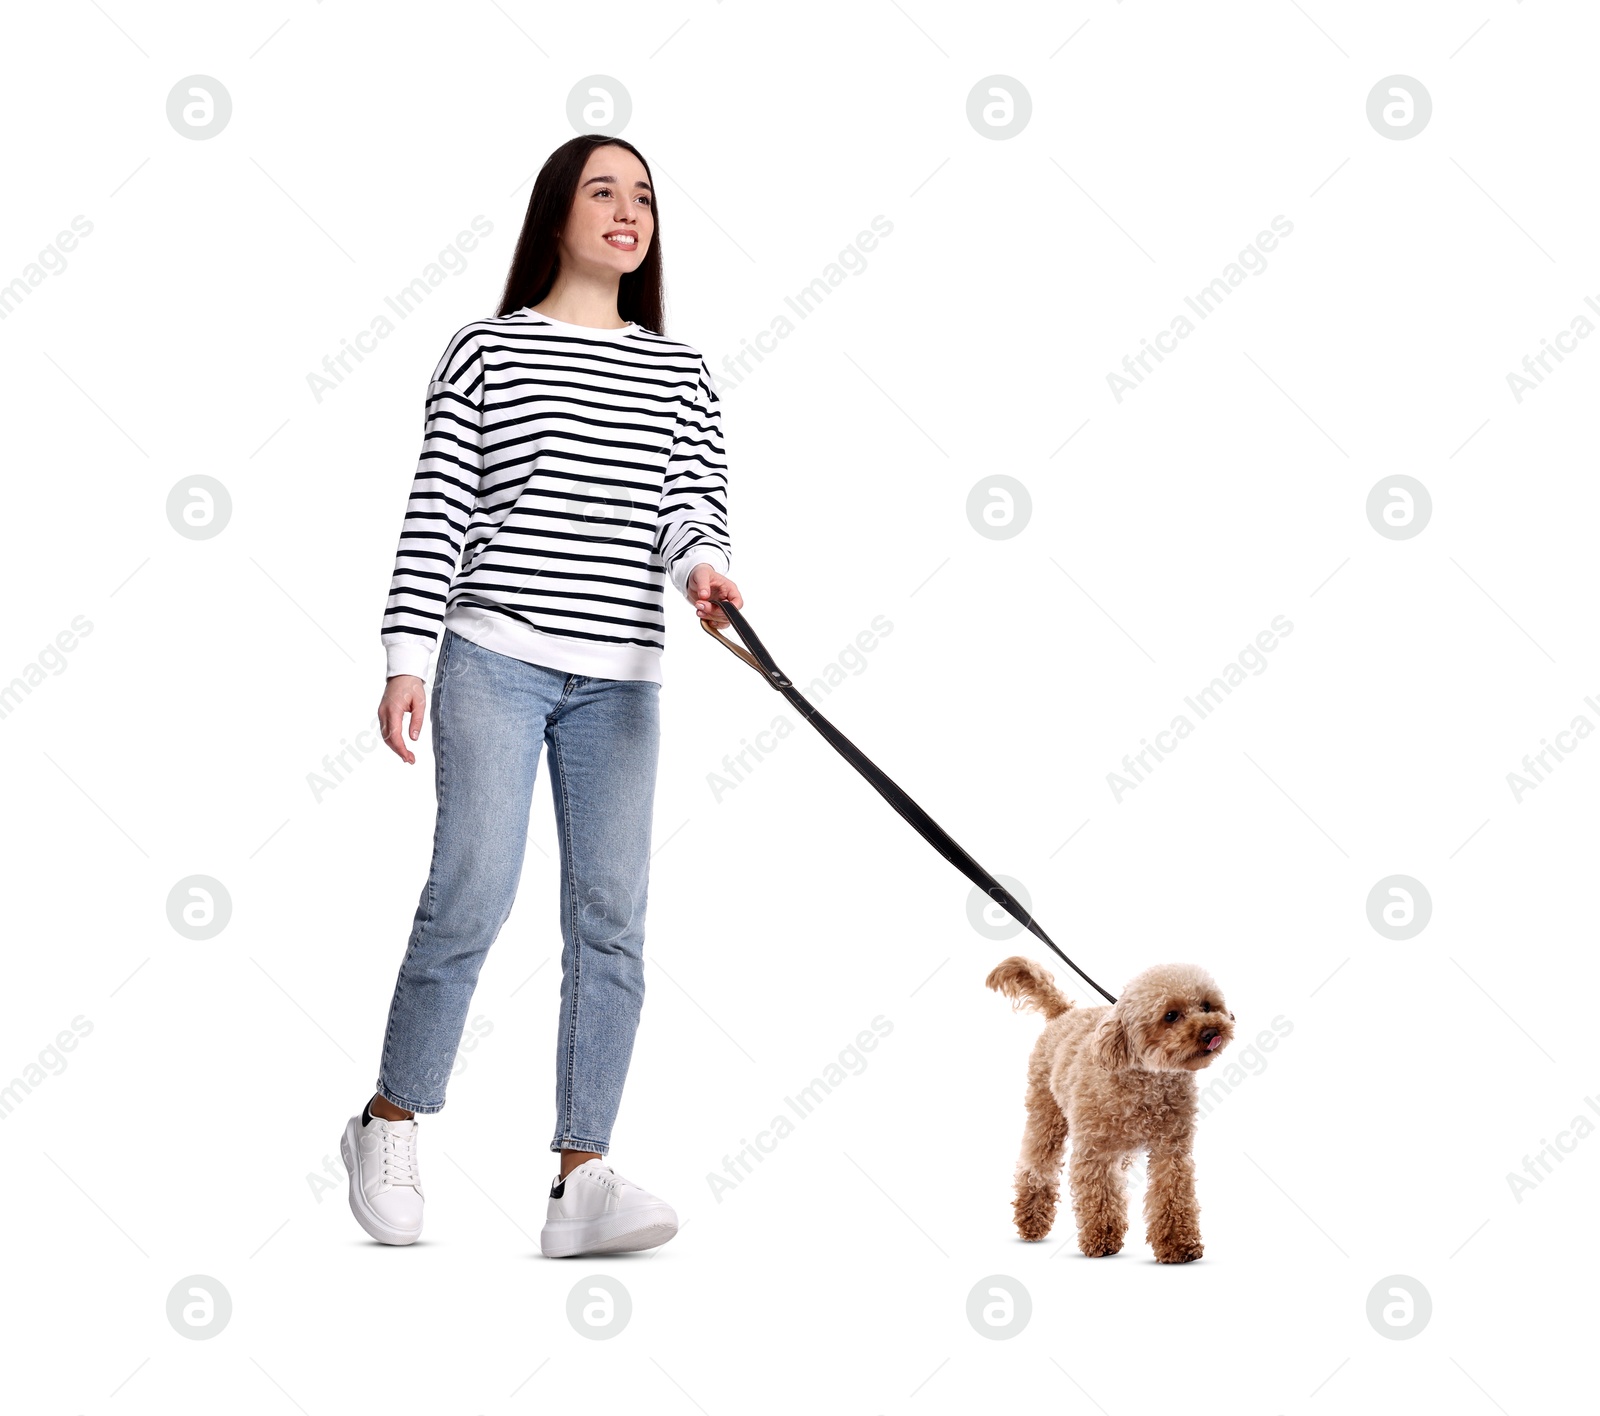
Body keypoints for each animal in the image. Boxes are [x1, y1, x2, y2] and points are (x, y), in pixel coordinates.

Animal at [985, 953, 1235, 1267]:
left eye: (1206, 1006)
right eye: (1171, 1015)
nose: (1211, 1031)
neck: (1147, 1078)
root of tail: (1064, 1013)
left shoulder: (1172, 1149)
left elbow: (1172, 1195)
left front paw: (1179, 1244)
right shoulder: (1095, 1151)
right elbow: (1099, 1194)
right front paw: (1101, 1240)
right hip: (1046, 1112)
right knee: (1037, 1164)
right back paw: (1031, 1221)